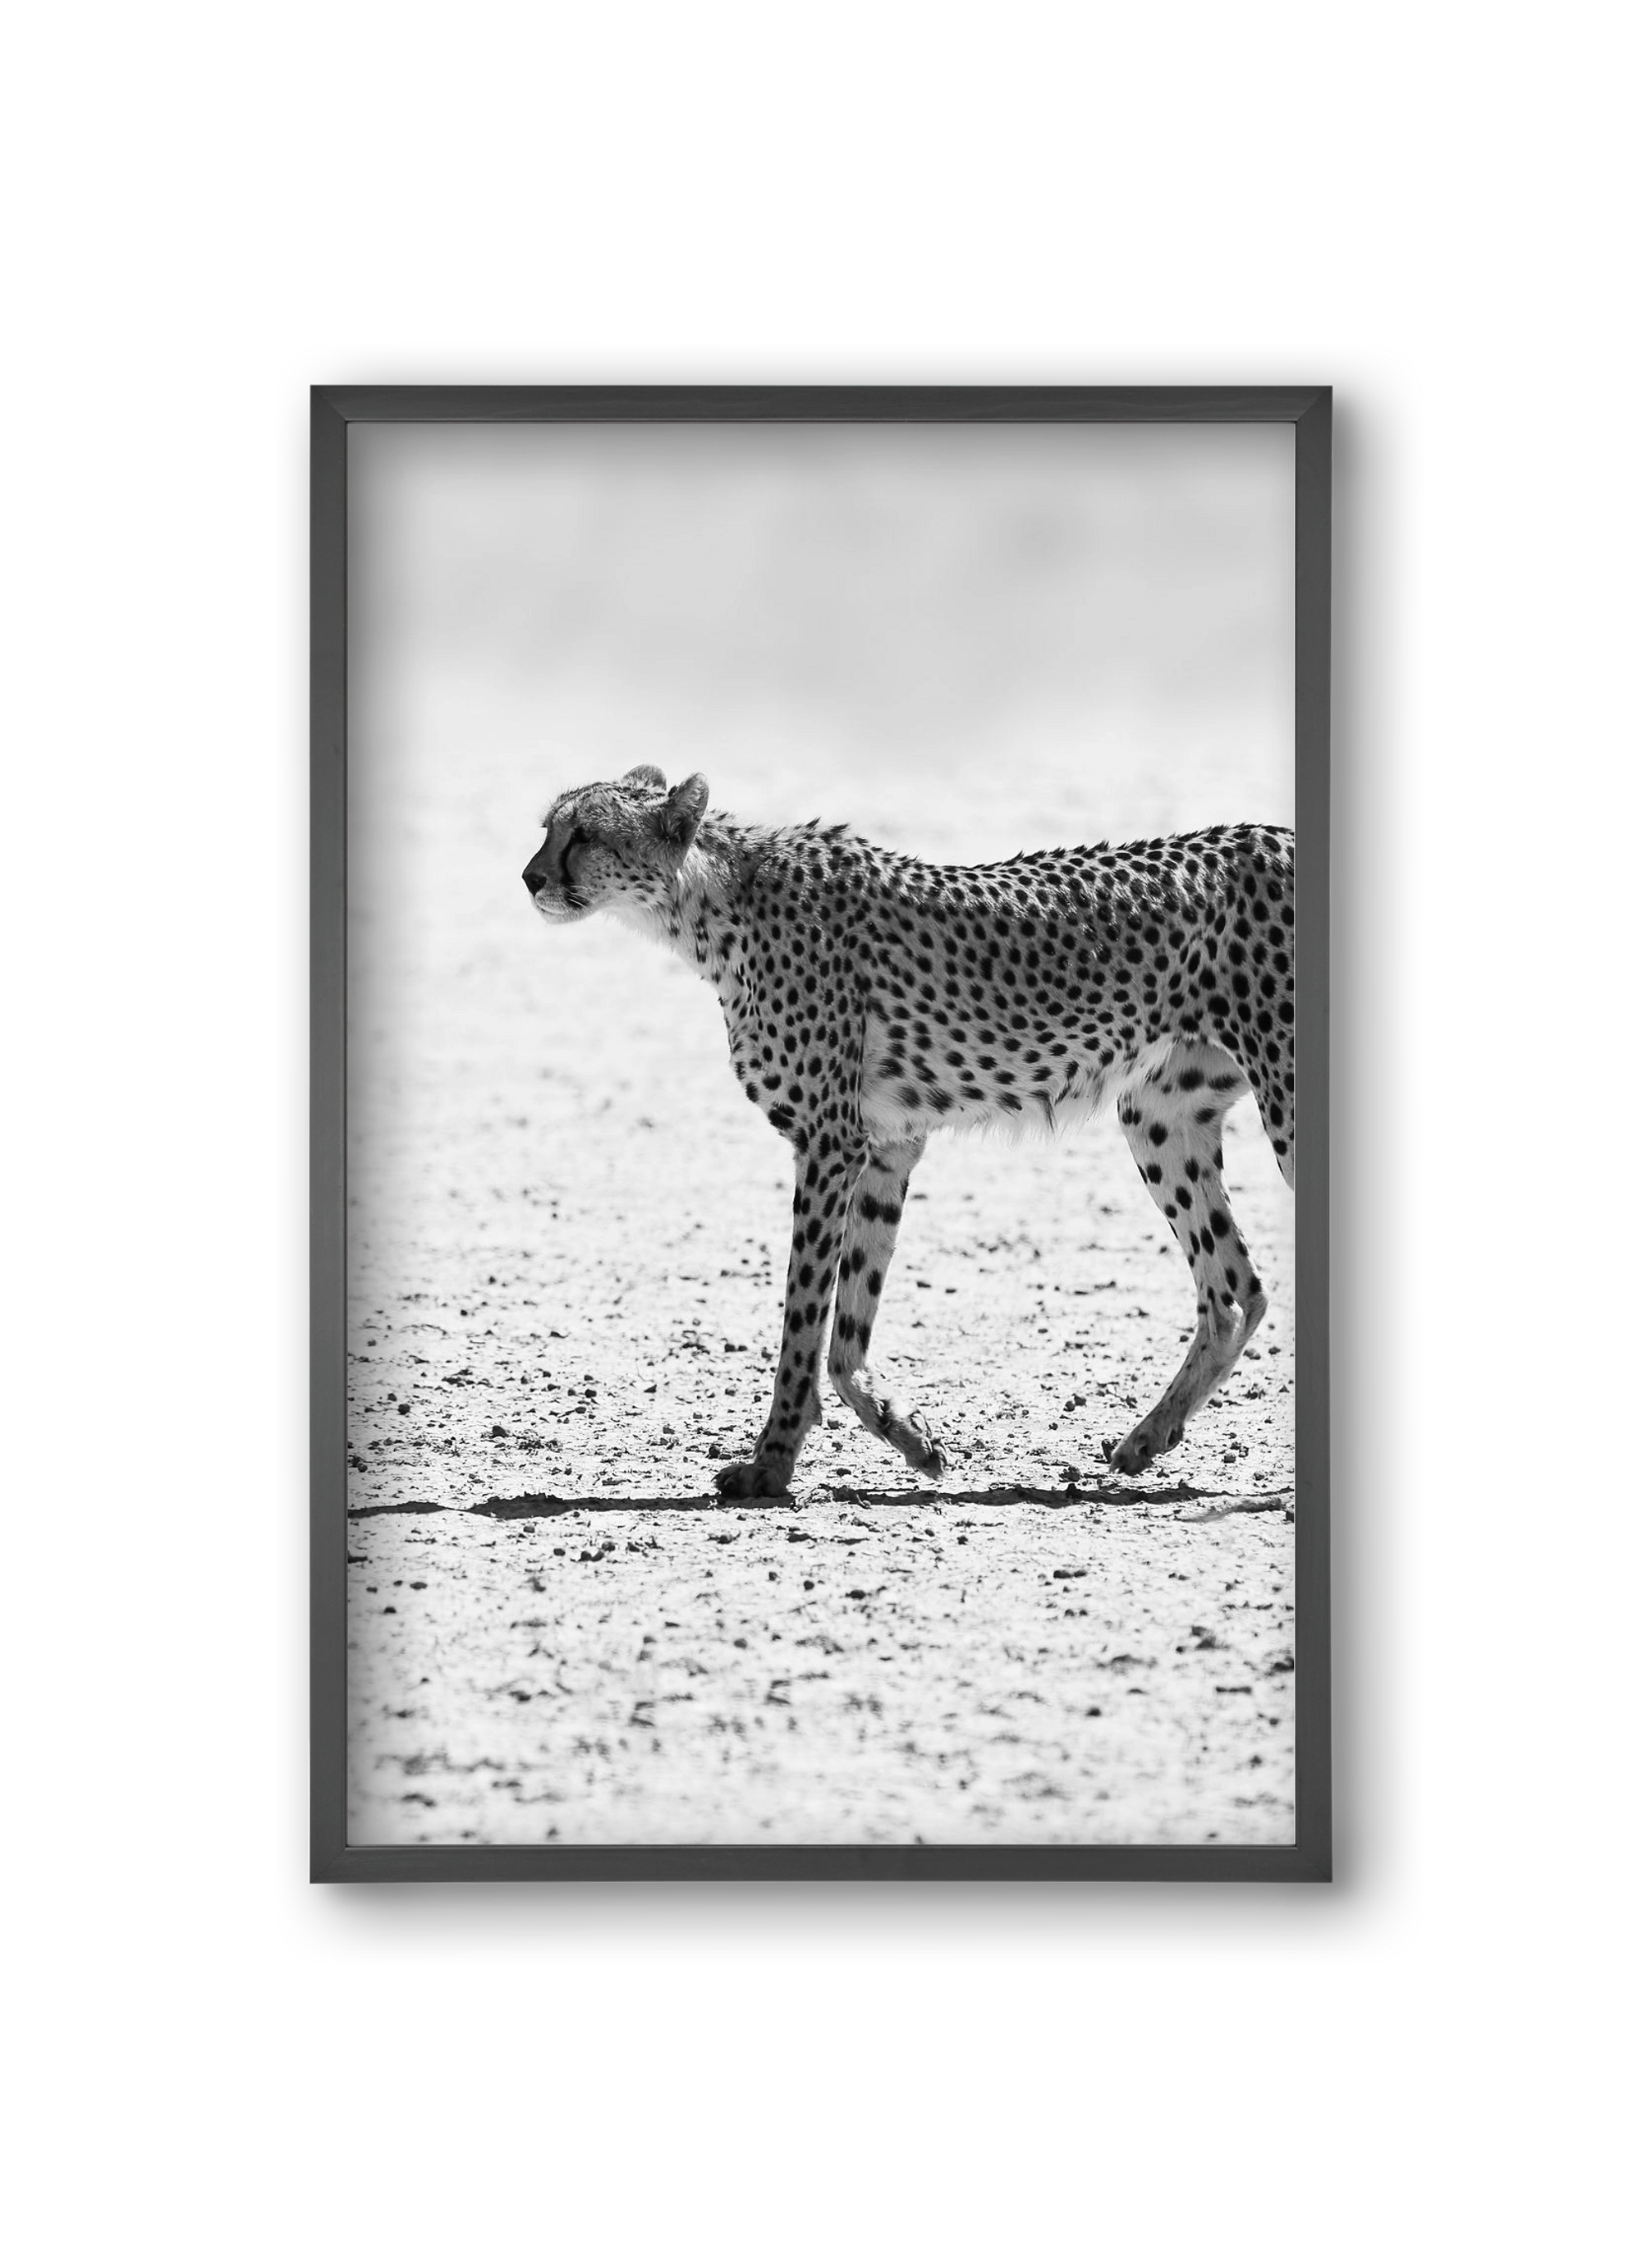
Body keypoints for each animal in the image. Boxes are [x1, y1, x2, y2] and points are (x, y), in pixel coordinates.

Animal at [524, 765, 1294, 1501]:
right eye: (548, 827)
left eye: (585, 834)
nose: (530, 877)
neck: (710, 903)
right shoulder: (887, 1146)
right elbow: (846, 1331)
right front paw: (911, 1437)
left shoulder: (829, 1143)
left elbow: (803, 1318)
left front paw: (770, 1464)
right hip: (1159, 1115)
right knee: (1234, 1289)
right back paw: (1146, 1439)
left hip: (1280, 1101)